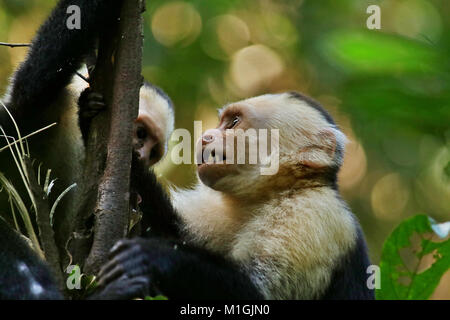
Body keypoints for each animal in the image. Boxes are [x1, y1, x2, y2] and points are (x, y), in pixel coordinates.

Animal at [0, 0, 173, 300]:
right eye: (140, 134)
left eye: (153, 153)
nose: (140, 156)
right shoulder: (40, 111)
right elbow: (37, 82)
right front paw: (86, 114)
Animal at [94, 92, 372, 300]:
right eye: (222, 122)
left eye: (234, 122)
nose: (205, 137)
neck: (267, 194)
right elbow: (173, 230)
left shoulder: (314, 214)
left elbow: (256, 294)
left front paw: (153, 257)